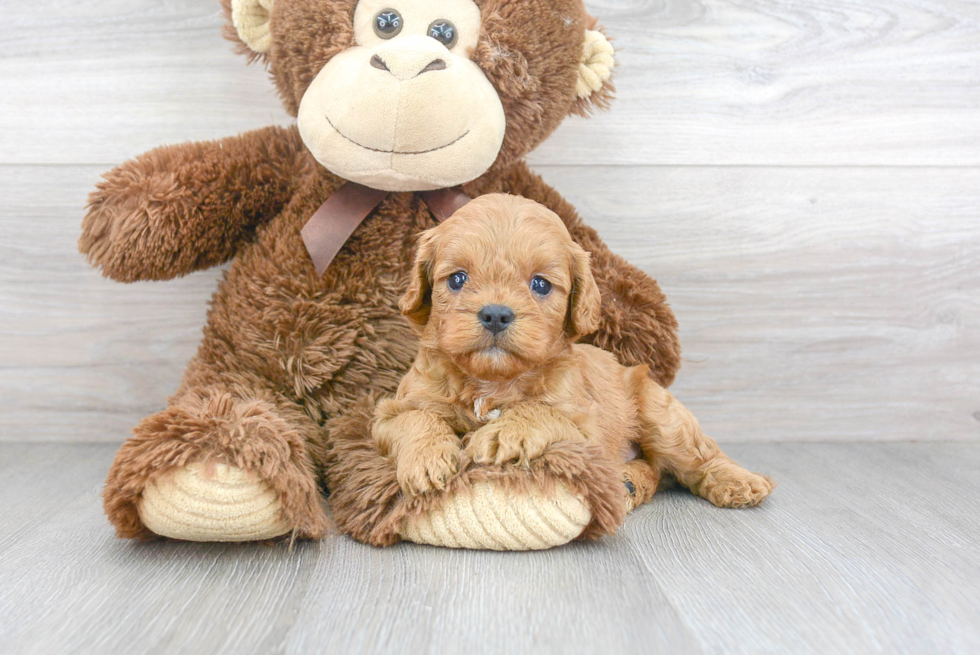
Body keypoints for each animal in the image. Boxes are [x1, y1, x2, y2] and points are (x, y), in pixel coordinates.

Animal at [374, 192, 772, 510]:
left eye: (540, 285)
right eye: (457, 279)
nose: (495, 314)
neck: (492, 382)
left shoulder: (585, 425)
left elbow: (542, 411)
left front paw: (504, 433)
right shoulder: (391, 412)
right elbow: (416, 418)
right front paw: (427, 459)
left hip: (662, 417)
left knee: (698, 456)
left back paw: (739, 481)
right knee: (654, 470)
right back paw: (628, 484)